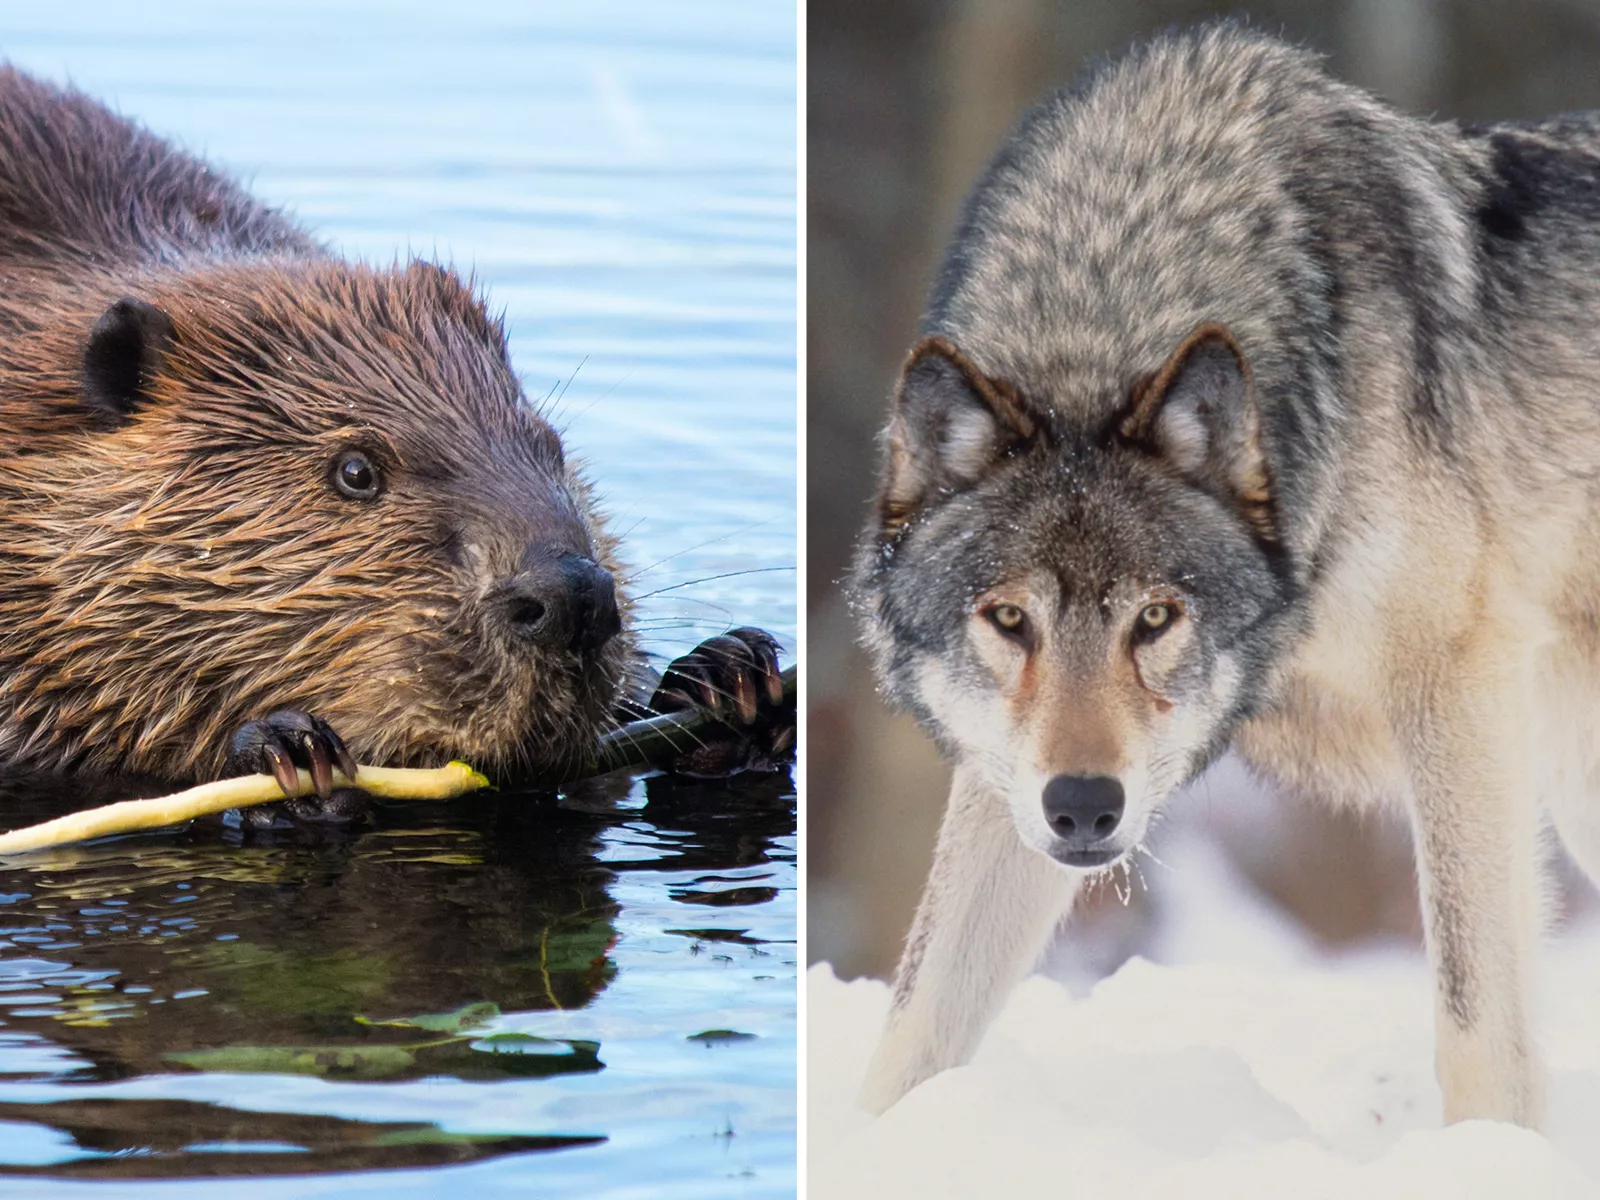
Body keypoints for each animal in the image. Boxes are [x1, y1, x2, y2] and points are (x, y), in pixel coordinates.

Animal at [849, 22, 1600, 1128]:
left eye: (1157, 617)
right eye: (1009, 620)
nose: (1085, 806)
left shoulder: (1458, 688)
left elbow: (1476, 1028)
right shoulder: (1002, 776)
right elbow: (913, 1030)